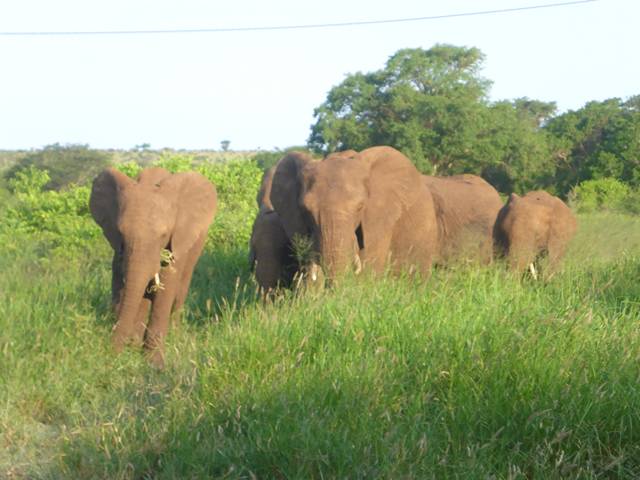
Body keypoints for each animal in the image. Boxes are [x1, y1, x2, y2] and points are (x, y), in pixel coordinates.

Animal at [90, 166, 217, 367]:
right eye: (121, 232)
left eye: (163, 235)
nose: (113, 355)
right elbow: (128, 286)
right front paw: (132, 349)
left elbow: (166, 287)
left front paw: (155, 364)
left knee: (180, 289)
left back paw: (175, 336)